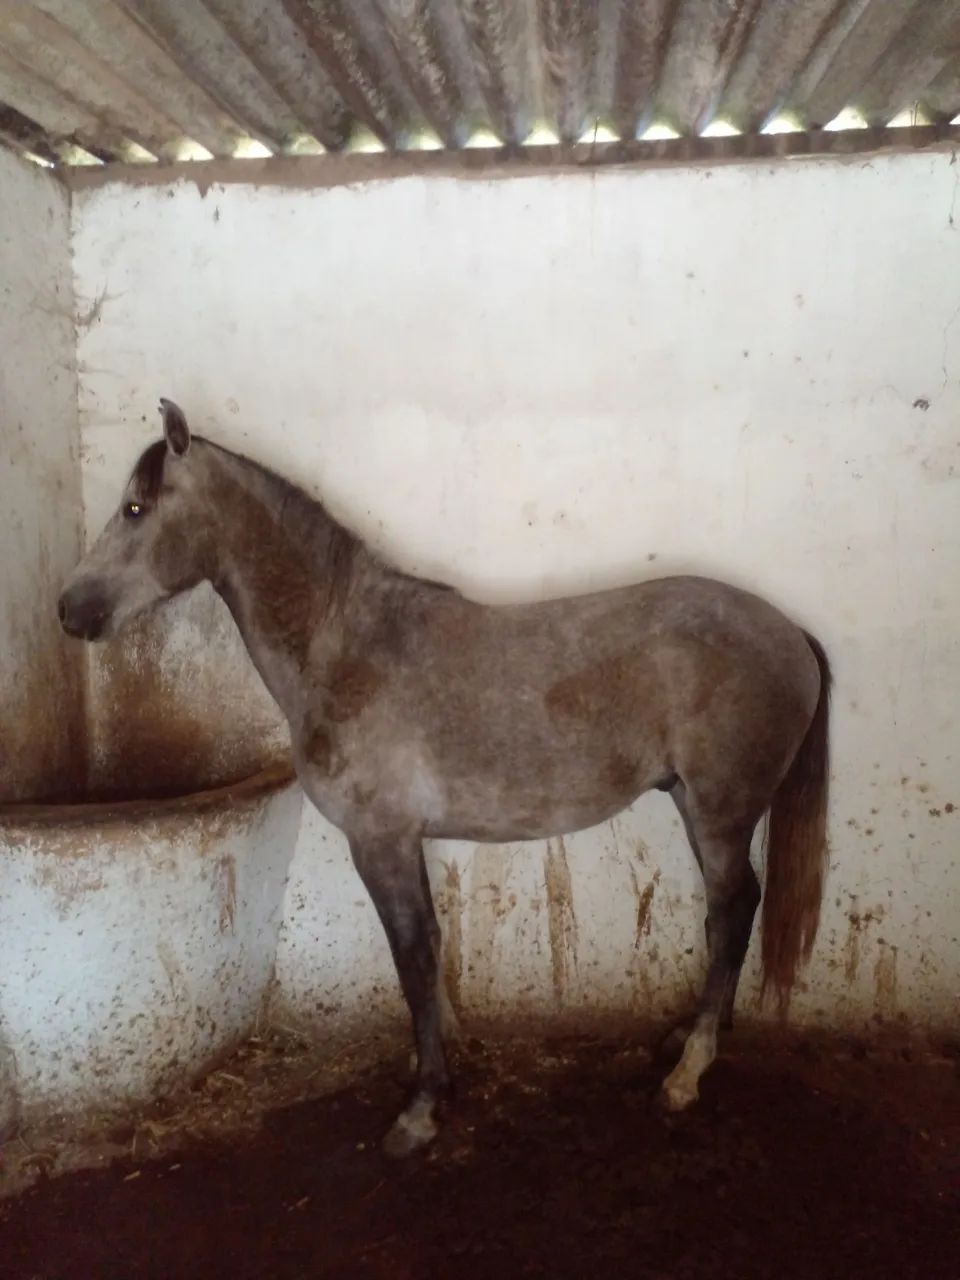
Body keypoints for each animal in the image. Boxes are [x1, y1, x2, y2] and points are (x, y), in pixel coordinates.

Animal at [59, 399, 831, 1157]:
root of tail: (790, 631)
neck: (347, 645)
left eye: (135, 508)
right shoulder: (407, 840)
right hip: (698, 808)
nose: (71, 609)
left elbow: (412, 952)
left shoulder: (380, 840)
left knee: (732, 910)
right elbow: (430, 946)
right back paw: (691, 1038)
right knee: (728, 912)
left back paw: (687, 1074)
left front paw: (423, 1106)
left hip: (719, 813)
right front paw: (440, 1058)